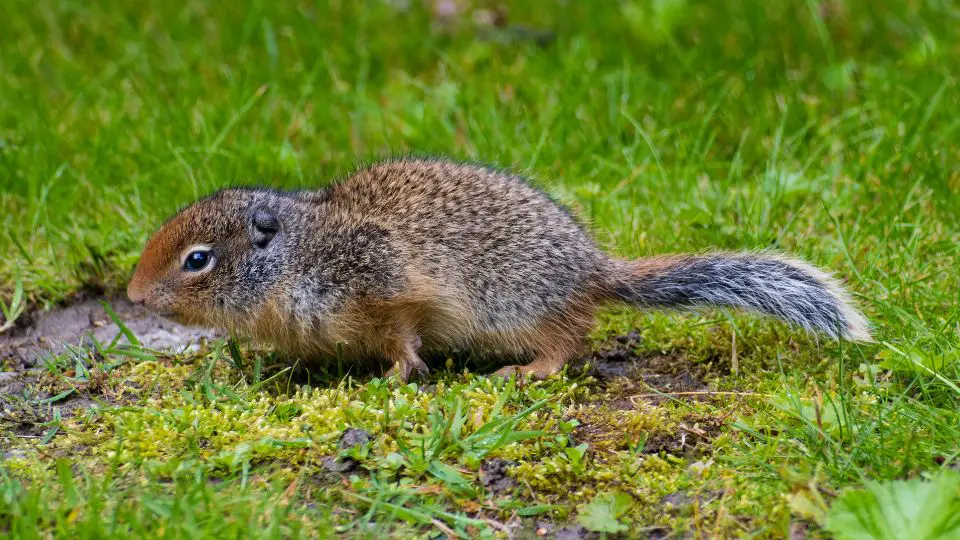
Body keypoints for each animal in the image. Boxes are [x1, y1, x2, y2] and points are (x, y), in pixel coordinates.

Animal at [125, 158, 872, 382]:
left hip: (519, 310)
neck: (297, 255)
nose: (131, 294)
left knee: (569, 342)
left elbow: (403, 336)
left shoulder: (382, 289)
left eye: (197, 261)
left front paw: (396, 375)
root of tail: (593, 269)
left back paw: (530, 371)